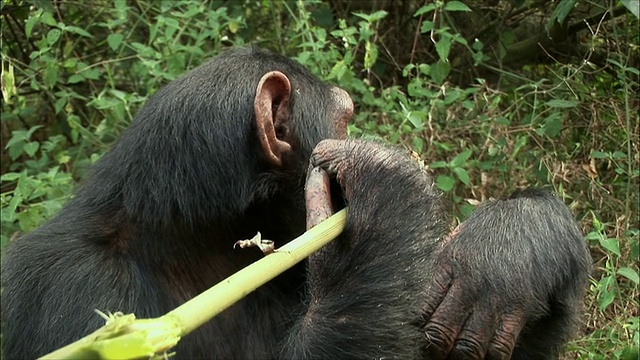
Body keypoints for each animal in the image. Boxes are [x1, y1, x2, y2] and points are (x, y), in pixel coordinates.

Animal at [0, 46, 592, 358]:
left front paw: (507, 248)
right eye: (347, 118)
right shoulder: (77, 296)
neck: (199, 246)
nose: (370, 131)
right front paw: (385, 202)